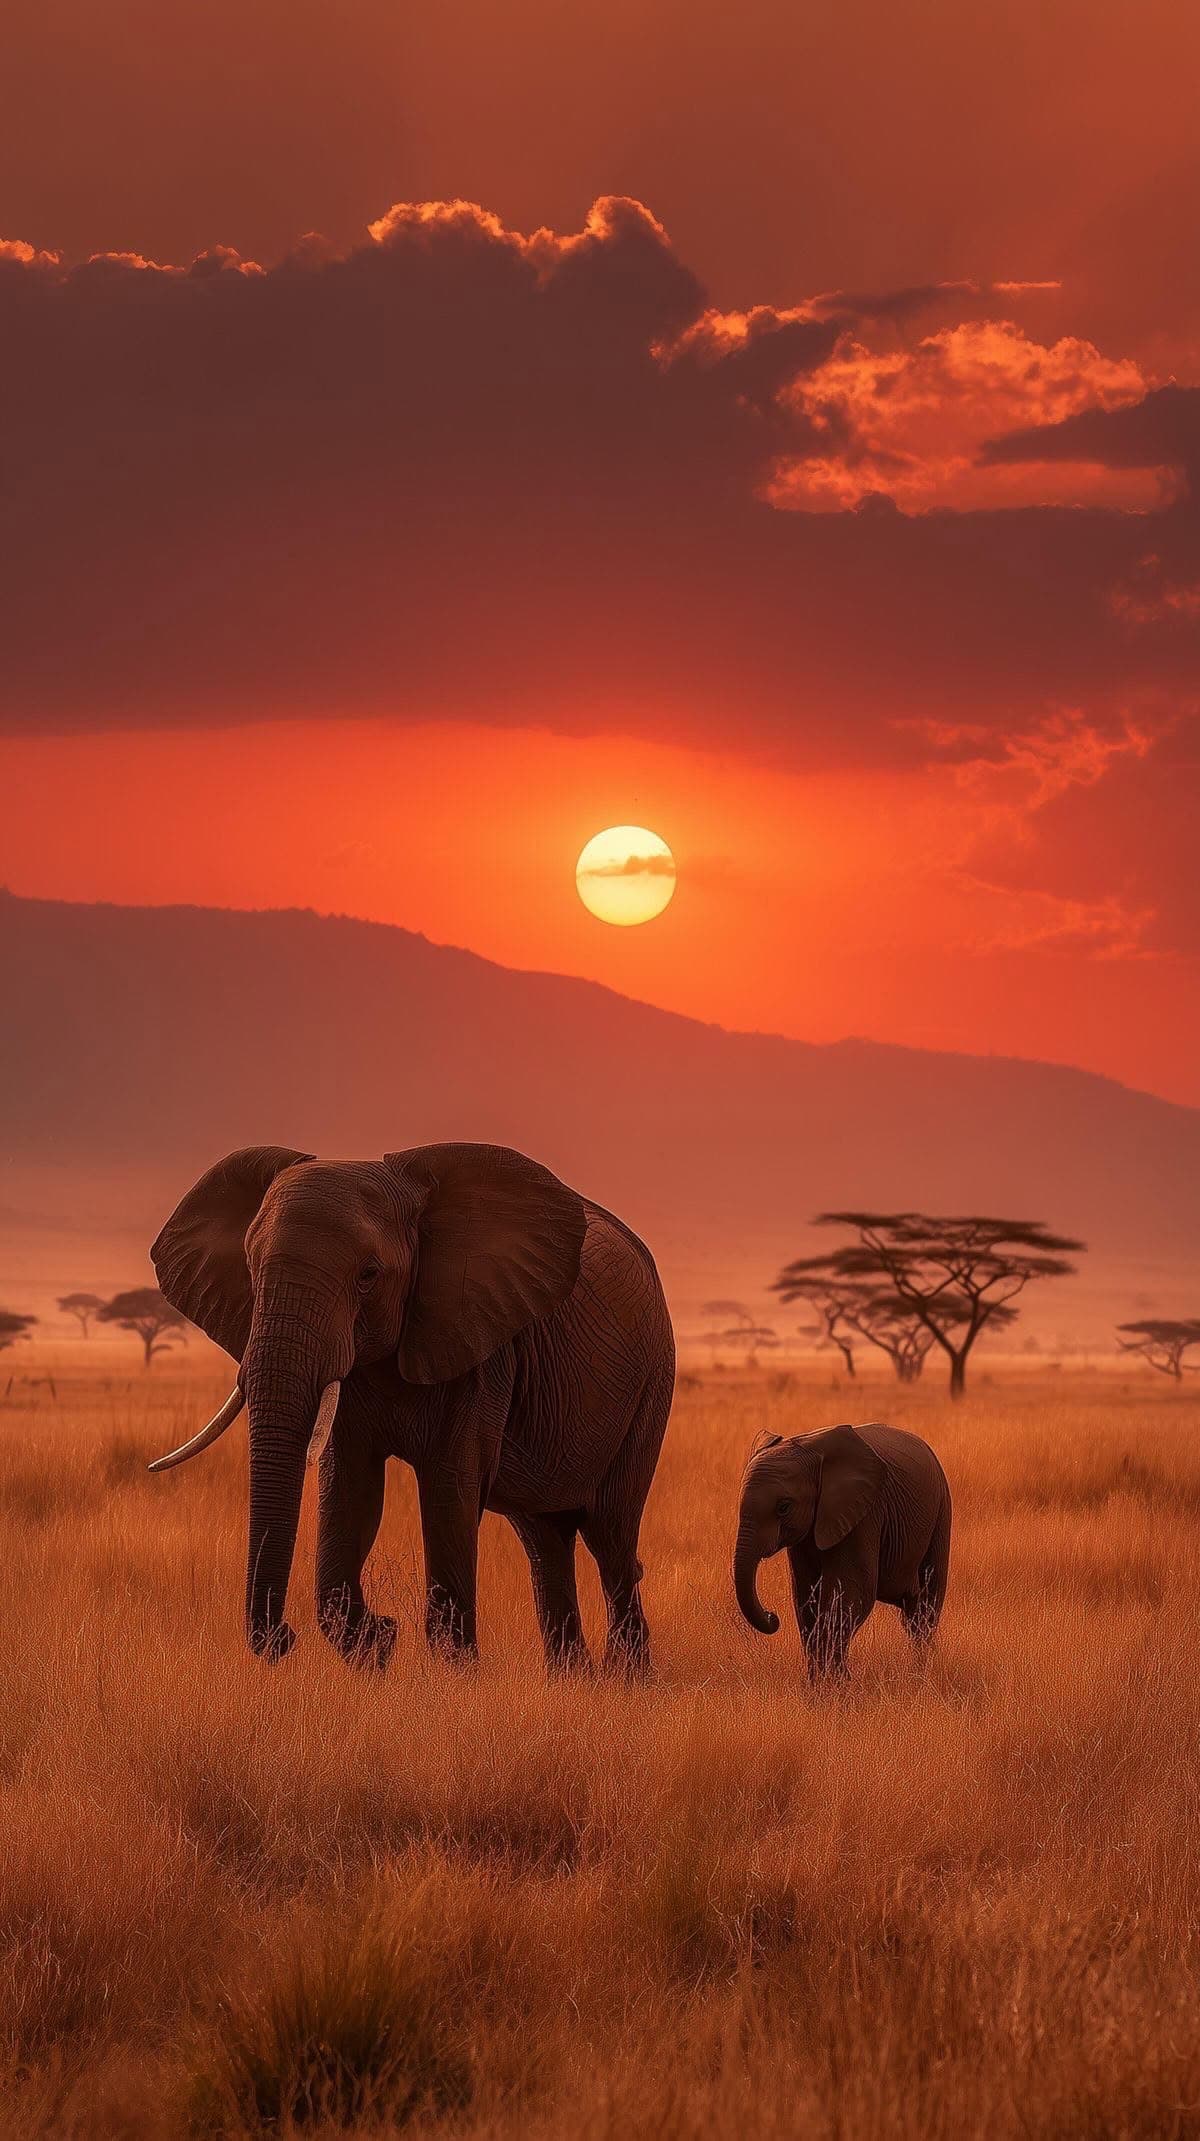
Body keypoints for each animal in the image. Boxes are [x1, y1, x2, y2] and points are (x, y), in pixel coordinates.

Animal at [146, 1143, 675, 1672]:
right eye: (251, 1270)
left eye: (368, 1276)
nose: (283, 1639)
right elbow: (350, 1489)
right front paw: (377, 1644)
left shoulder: (480, 1346)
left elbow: (450, 1488)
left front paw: (452, 1674)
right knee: (544, 1538)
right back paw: (571, 1678)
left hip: (652, 1382)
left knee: (611, 1535)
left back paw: (625, 1678)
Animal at [733, 1423, 951, 1678]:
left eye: (783, 1507)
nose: (772, 1617)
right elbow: (805, 1598)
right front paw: (818, 1683)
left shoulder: (864, 1515)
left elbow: (850, 1594)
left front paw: (837, 1683)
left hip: (941, 1511)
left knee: (923, 1610)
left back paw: (922, 1671)